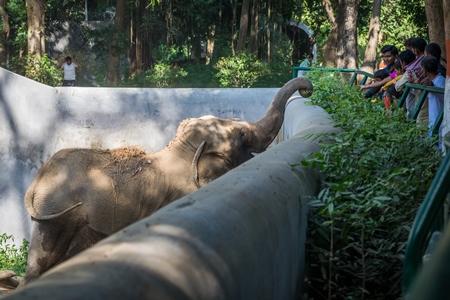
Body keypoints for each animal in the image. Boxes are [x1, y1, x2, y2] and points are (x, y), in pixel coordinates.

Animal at [21, 76, 312, 284]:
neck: (183, 151)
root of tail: (37, 179)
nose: (307, 89)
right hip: (56, 212)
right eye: (240, 135)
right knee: (41, 262)